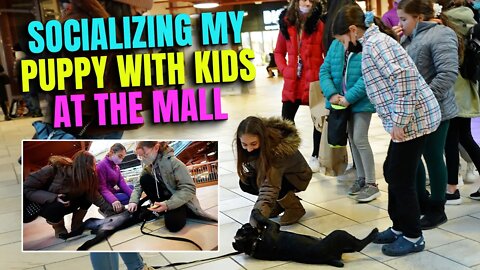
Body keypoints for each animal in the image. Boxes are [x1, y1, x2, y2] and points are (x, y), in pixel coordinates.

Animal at [232, 208, 378, 266]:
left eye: (242, 229)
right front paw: (256, 211)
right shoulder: (273, 225)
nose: (246, 224)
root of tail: (329, 258)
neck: (255, 242)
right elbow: (264, 219)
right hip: (340, 235)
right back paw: (374, 232)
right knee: (359, 245)